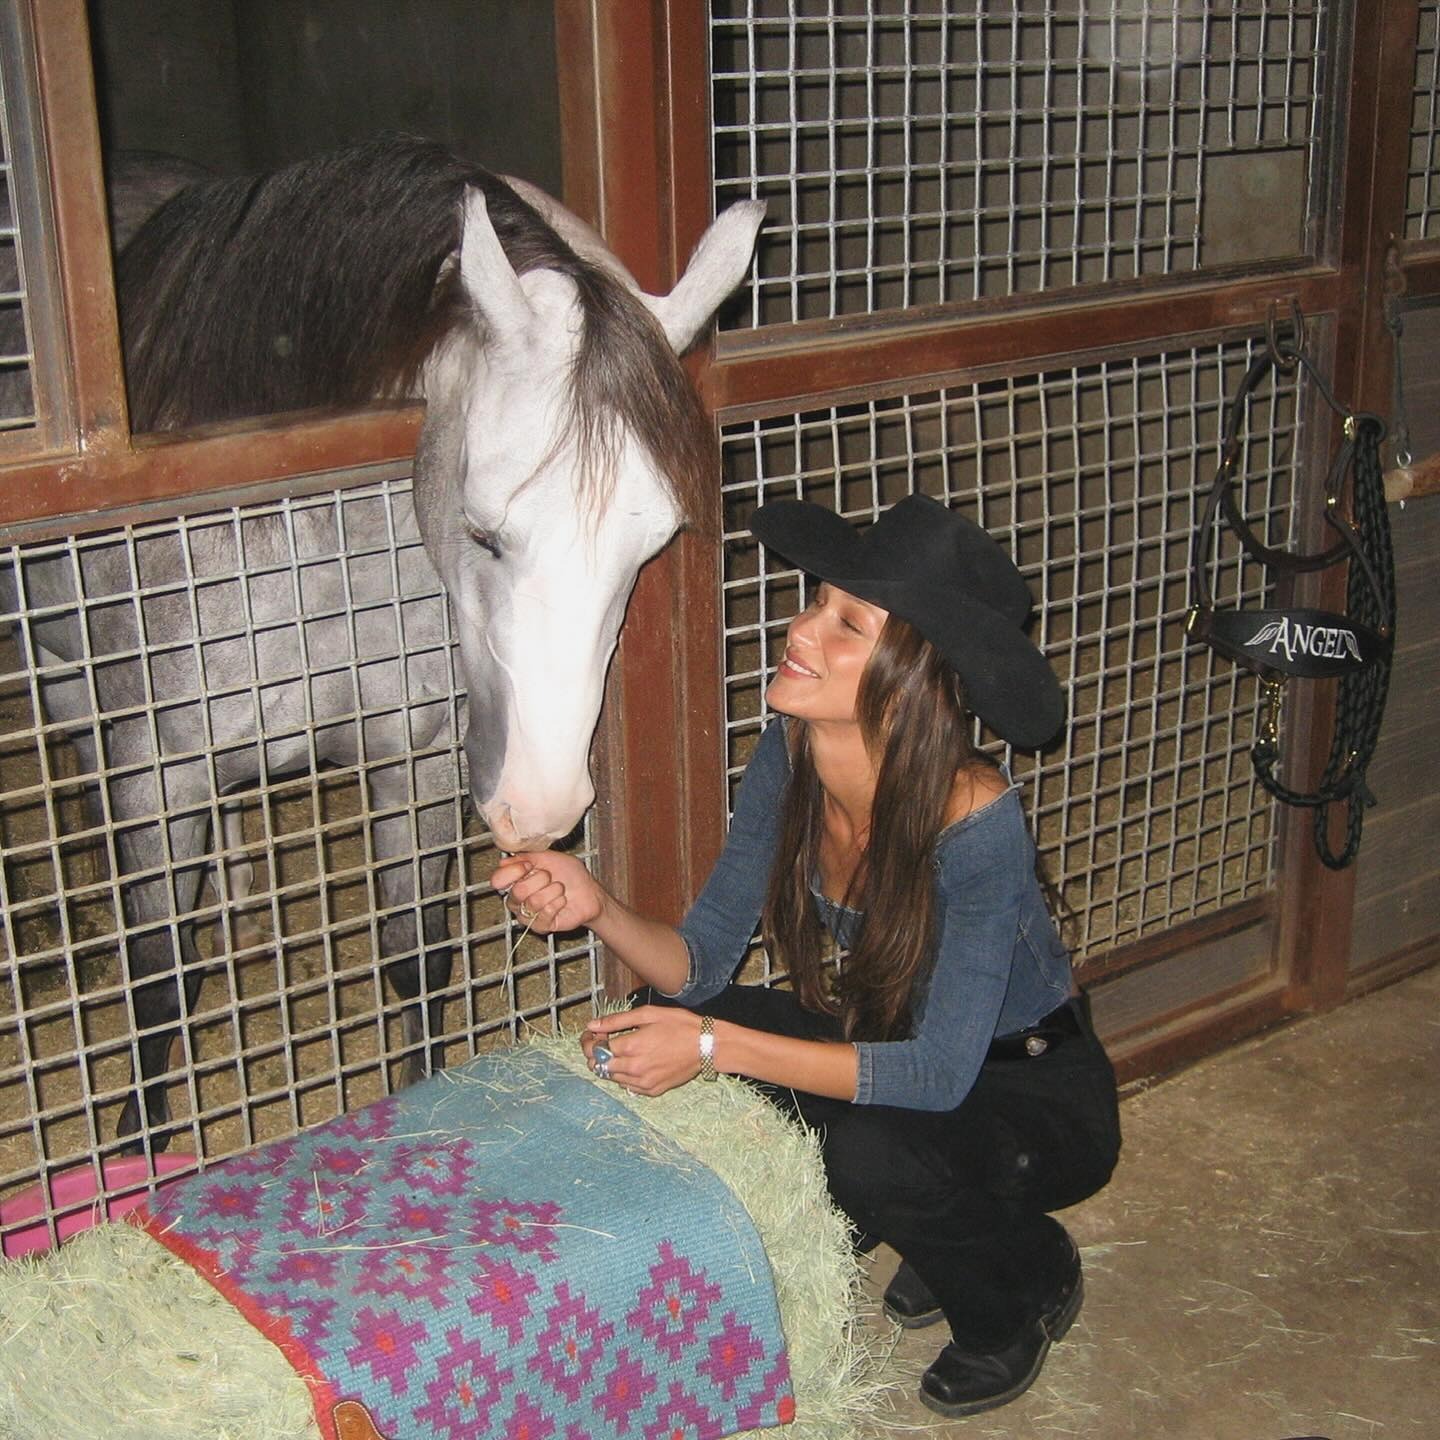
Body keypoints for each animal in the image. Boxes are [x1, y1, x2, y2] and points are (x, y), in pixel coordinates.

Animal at [2, 134, 763, 1150]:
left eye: (654, 543)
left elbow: (415, 956)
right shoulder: (158, 769)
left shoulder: (418, 762)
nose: (540, 809)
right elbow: (162, 977)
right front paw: (139, 1141)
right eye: (482, 531)